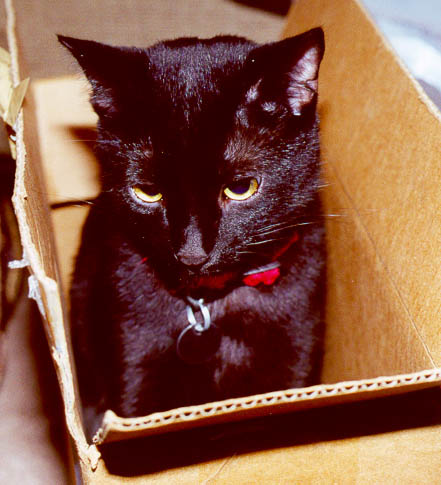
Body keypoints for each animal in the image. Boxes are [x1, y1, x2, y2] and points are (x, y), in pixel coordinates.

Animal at [59, 27, 326, 438]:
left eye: (241, 187)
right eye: (148, 192)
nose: (191, 253)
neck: (212, 305)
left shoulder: (294, 359)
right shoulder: (135, 362)